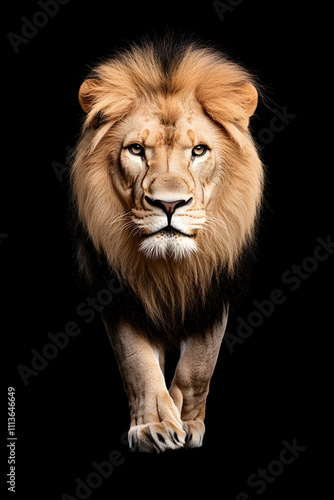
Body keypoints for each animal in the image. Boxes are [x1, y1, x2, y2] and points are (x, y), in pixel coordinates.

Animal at [70, 36, 264, 454]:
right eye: (137, 150)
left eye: (199, 151)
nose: (170, 204)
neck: (169, 268)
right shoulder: (117, 291)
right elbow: (138, 364)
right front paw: (155, 426)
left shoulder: (213, 289)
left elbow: (198, 367)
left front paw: (186, 421)